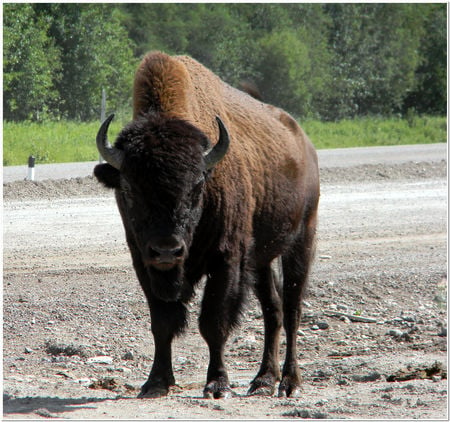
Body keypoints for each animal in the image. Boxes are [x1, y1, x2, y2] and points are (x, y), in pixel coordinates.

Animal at [94, 51, 320, 398]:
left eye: (198, 184)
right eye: (129, 188)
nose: (167, 250)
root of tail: (303, 142)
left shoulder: (225, 260)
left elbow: (213, 322)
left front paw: (217, 384)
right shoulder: (144, 262)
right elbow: (162, 323)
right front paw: (156, 382)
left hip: (302, 237)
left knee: (293, 308)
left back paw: (288, 382)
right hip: (260, 259)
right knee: (274, 309)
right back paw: (262, 380)